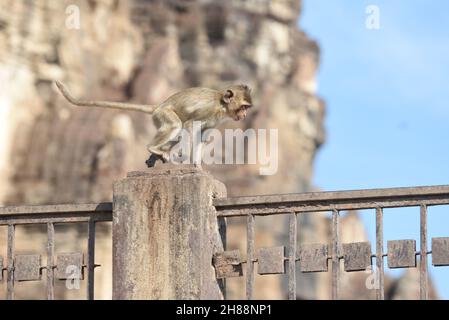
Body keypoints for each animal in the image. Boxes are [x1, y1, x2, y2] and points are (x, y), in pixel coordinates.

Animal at [53, 81, 252, 168]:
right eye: (243, 107)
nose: (244, 115)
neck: (222, 104)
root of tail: (158, 106)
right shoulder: (208, 111)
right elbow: (190, 127)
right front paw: (189, 161)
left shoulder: (215, 120)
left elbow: (201, 136)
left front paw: (197, 166)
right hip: (163, 115)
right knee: (176, 126)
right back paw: (153, 148)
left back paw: (155, 156)